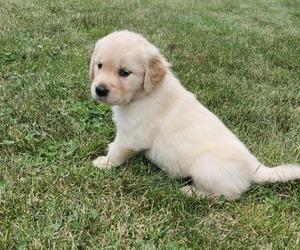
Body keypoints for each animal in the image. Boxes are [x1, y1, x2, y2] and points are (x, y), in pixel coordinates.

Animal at [89, 30, 300, 200]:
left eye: (125, 73)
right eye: (99, 65)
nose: (100, 90)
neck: (144, 94)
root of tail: (254, 167)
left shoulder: (133, 135)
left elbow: (119, 151)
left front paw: (105, 163)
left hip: (206, 169)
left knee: (228, 195)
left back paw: (192, 192)